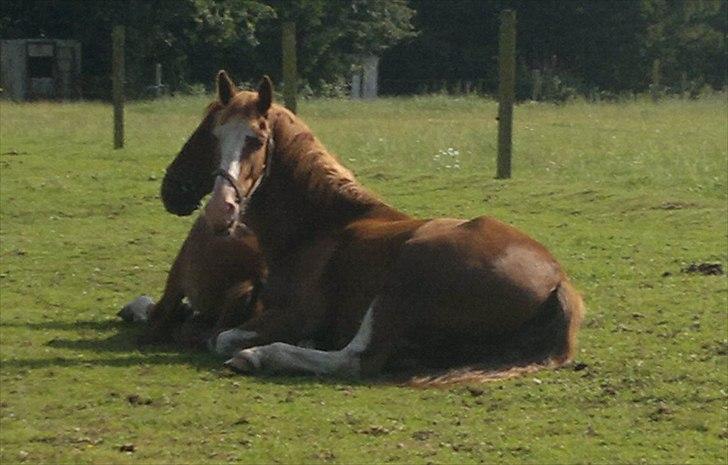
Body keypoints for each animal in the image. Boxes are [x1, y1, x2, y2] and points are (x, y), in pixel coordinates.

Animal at [181, 70, 580, 378]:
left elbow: (223, 338)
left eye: (256, 140)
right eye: (216, 136)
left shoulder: (299, 315)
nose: (220, 208)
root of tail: (557, 279)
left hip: (405, 276)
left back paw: (260, 357)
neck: (318, 228)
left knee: (357, 359)